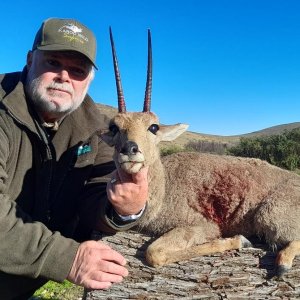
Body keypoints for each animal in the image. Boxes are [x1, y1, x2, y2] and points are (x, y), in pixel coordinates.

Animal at [101, 28, 300, 276]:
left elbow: (154, 253)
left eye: (153, 127)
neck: (166, 186)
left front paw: (239, 240)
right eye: (114, 127)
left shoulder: (202, 225)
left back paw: (283, 263)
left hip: (269, 215)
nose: (130, 149)